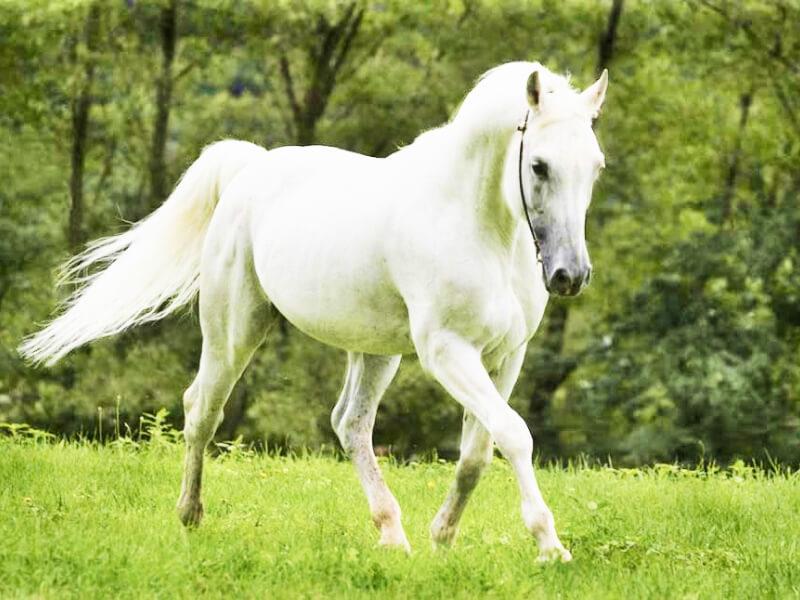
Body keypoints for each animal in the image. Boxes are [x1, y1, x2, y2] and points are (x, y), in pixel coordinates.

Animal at [21, 61, 608, 562]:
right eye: (539, 165)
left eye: (596, 167)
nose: (570, 276)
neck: (479, 225)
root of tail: (249, 169)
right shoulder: (447, 351)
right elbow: (514, 434)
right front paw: (550, 545)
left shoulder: (506, 356)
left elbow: (479, 451)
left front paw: (443, 536)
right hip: (235, 331)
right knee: (202, 410)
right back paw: (190, 517)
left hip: (375, 351)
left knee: (350, 425)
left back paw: (393, 536)